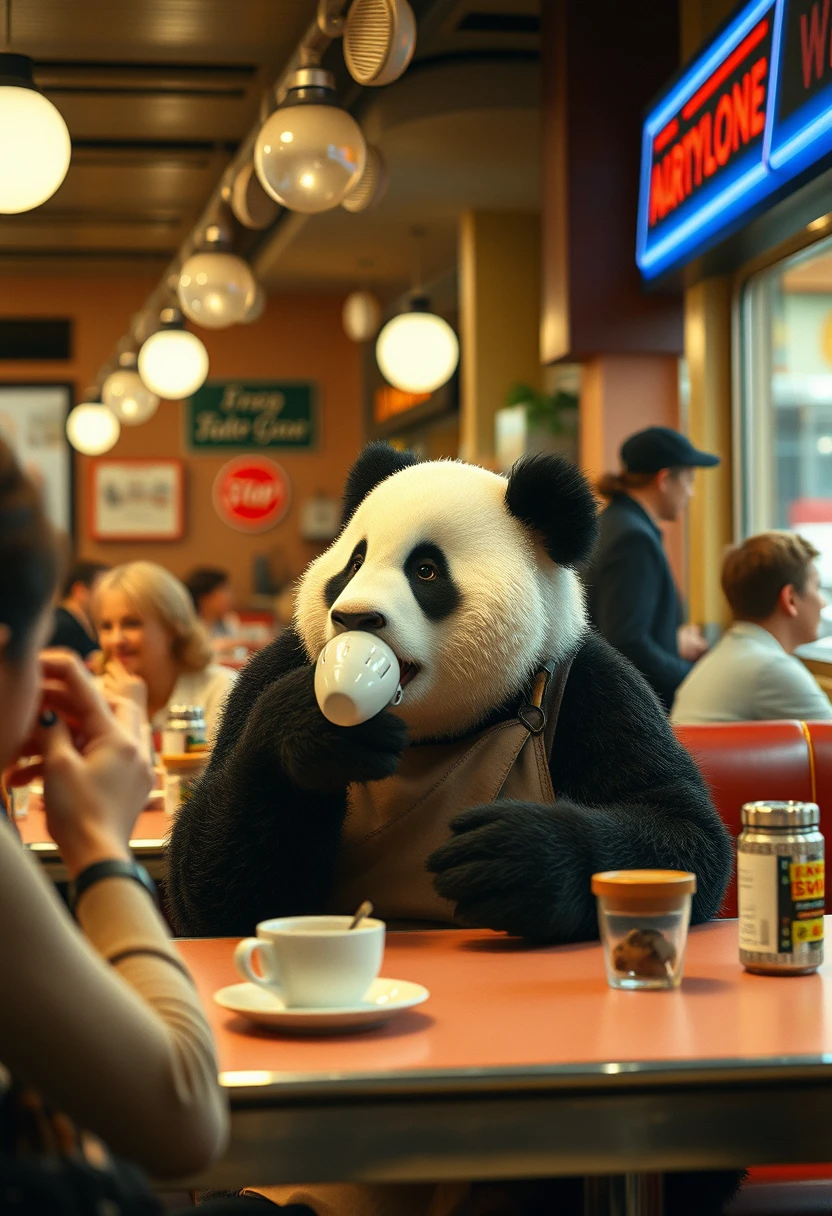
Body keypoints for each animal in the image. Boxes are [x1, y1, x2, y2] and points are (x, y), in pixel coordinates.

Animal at [167, 447, 729, 948]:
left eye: (426, 570)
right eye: (354, 563)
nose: (354, 617)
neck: (429, 733)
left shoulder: (594, 686)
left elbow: (682, 826)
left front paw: (517, 860)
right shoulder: (271, 673)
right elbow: (208, 888)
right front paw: (314, 732)